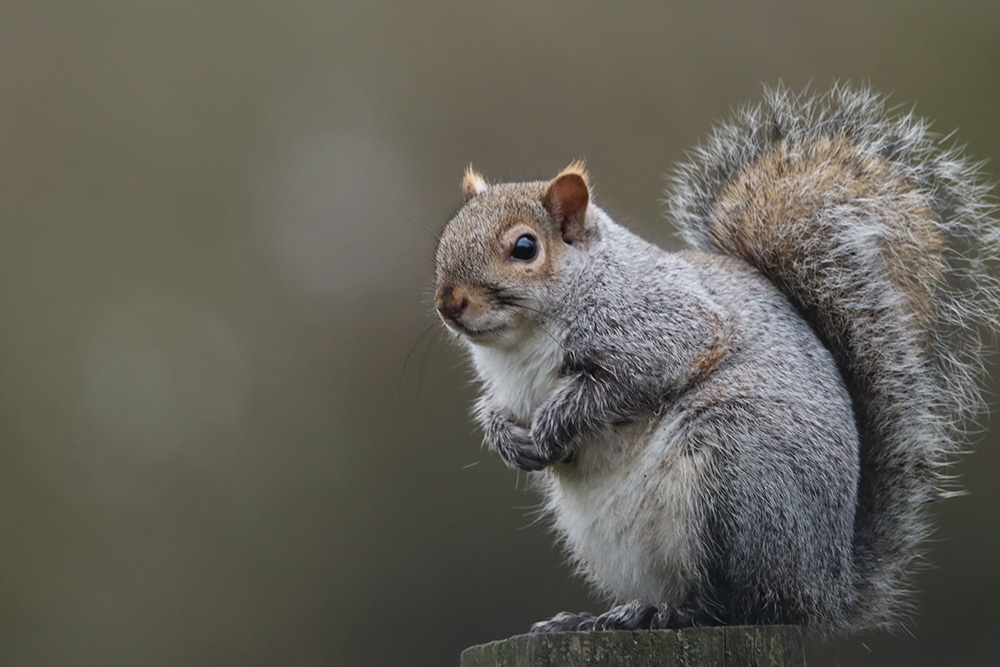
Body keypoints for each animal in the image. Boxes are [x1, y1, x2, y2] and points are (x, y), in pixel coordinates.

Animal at [433, 85, 998, 633]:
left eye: (525, 248)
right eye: (445, 238)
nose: (448, 303)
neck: (521, 343)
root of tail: (828, 587)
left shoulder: (662, 326)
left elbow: (620, 384)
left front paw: (555, 422)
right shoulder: (510, 385)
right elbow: (498, 410)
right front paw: (506, 438)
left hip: (735, 479)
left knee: (746, 601)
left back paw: (673, 613)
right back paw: (595, 617)